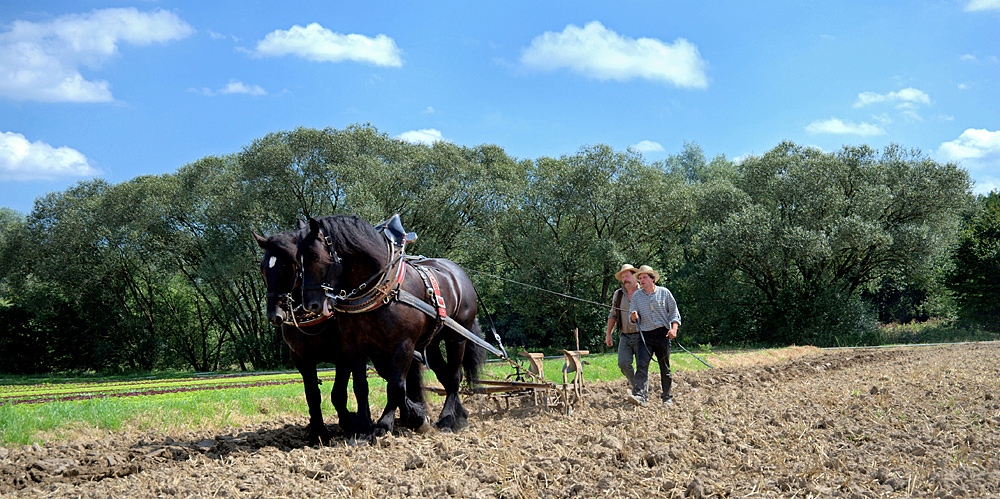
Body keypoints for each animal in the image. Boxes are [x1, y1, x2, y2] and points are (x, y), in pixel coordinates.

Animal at [296, 215, 484, 438]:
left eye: (315, 257)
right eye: (298, 261)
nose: (310, 305)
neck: (383, 288)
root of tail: (459, 273)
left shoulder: (403, 345)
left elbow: (396, 385)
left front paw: (385, 424)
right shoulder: (354, 346)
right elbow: (361, 387)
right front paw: (363, 430)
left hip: (457, 336)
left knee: (455, 376)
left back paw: (446, 419)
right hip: (432, 343)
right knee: (446, 375)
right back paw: (459, 416)